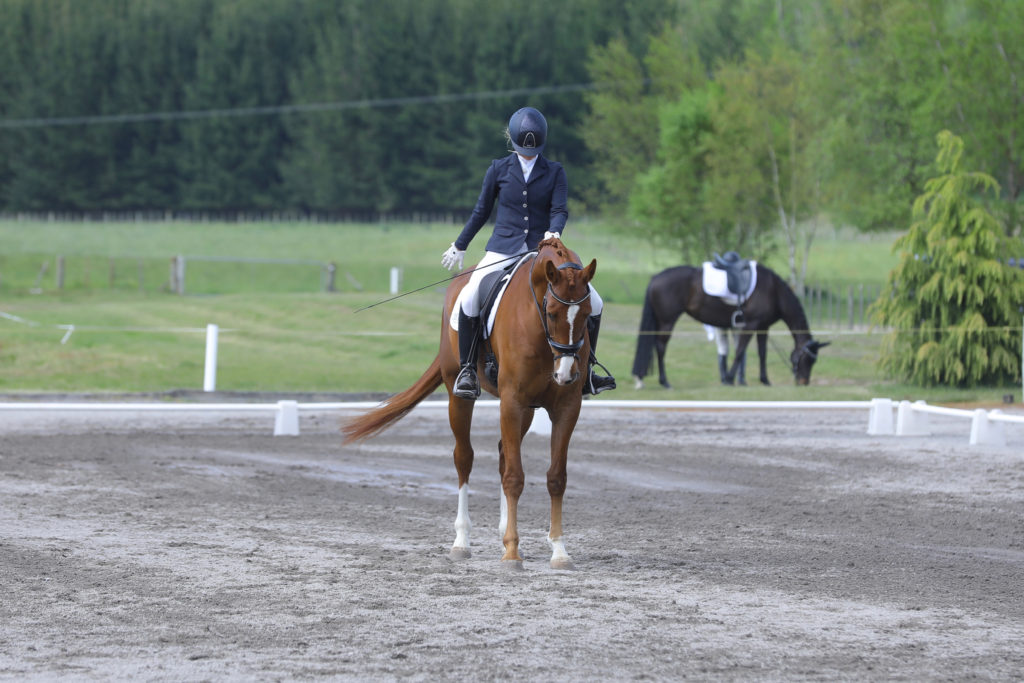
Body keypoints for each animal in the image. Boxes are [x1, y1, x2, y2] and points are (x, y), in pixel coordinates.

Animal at [344, 237, 598, 569]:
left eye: (587, 314)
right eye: (553, 313)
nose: (566, 373)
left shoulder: (566, 407)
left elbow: (556, 477)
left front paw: (558, 551)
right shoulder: (512, 401)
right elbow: (514, 477)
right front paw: (512, 555)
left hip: (526, 410)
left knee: (503, 455)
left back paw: (503, 533)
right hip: (459, 396)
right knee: (464, 458)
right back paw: (462, 541)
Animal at [630, 264, 831, 387]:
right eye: (808, 359)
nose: (803, 382)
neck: (774, 291)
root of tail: (655, 278)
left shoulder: (763, 327)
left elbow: (762, 353)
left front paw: (764, 380)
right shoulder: (751, 325)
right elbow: (741, 350)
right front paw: (728, 379)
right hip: (667, 321)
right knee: (661, 347)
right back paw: (665, 382)